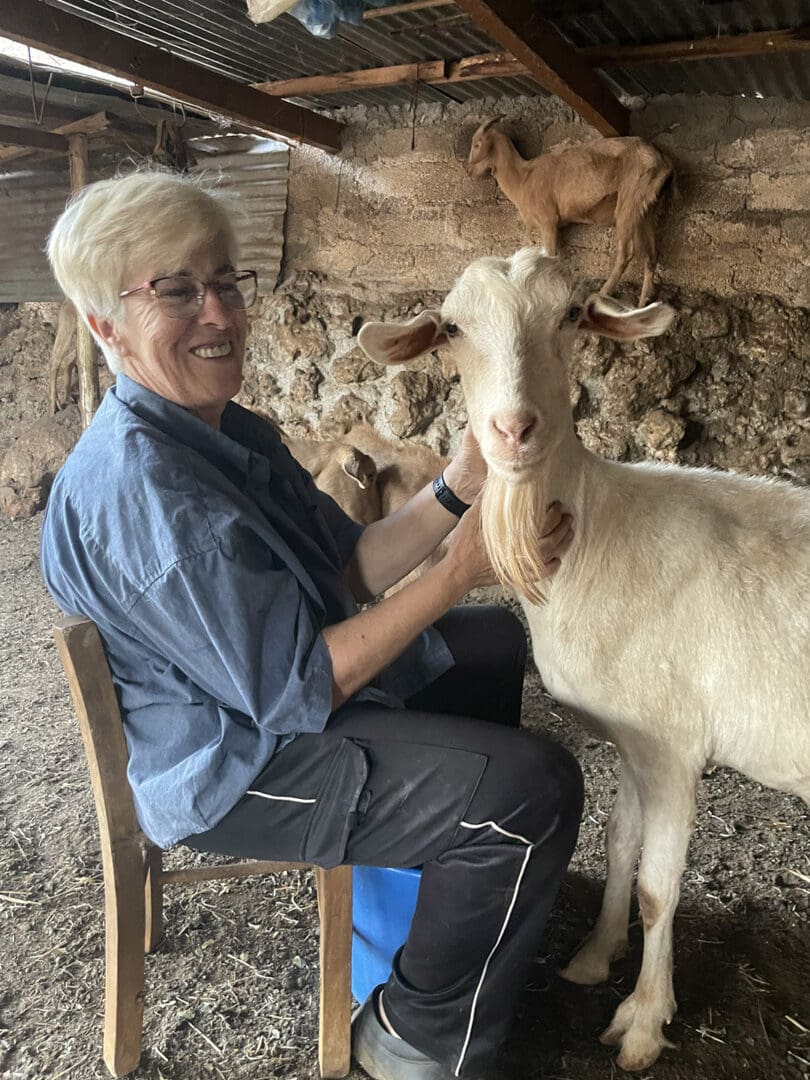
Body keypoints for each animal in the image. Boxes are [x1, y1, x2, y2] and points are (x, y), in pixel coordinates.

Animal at [358, 248, 810, 1072]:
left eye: (570, 314)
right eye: (452, 327)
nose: (512, 429)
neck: (595, 531)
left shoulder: (671, 744)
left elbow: (660, 888)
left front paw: (642, 1024)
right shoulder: (631, 738)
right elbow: (618, 843)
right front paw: (596, 959)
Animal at [467, 118, 673, 306]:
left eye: (477, 144)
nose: (468, 171)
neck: (523, 177)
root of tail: (662, 161)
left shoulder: (548, 221)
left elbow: (550, 256)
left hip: (630, 200)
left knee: (626, 252)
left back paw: (603, 293)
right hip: (646, 208)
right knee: (651, 255)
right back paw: (643, 303)